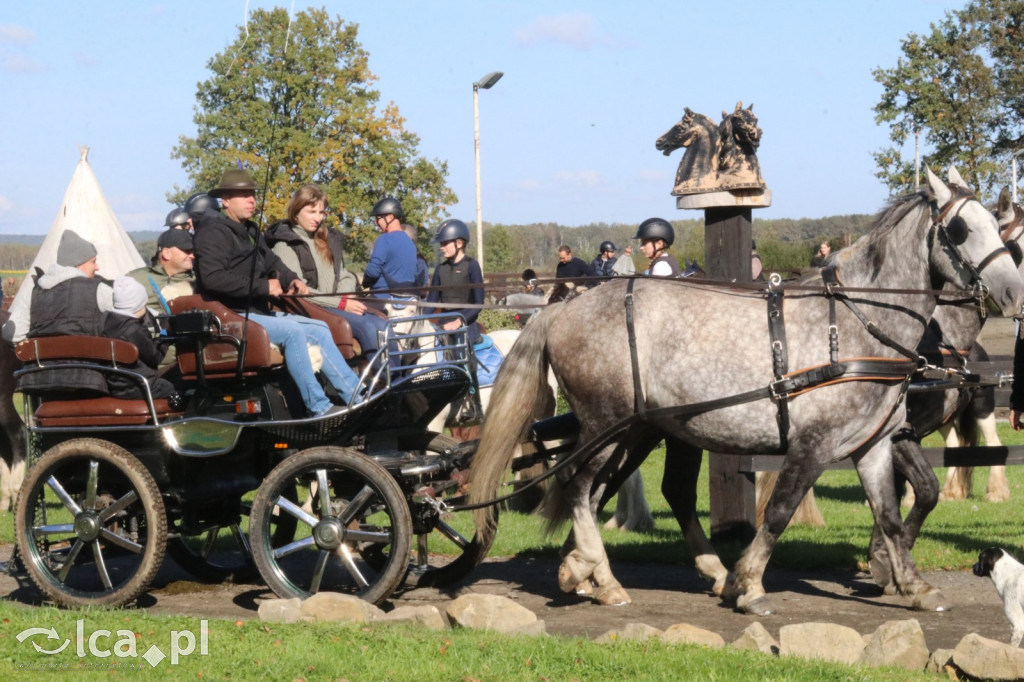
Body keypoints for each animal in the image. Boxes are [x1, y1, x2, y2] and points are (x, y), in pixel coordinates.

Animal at [468, 166, 1024, 614]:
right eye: (961, 229)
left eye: (998, 229)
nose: (1014, 292)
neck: (855, 322)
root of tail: (563, 308)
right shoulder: (813, 444)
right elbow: (778, 512)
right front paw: (749, 585)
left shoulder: (874, 444)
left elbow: (889, 513)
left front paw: (910, 583)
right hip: (606, 425)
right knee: (579, 486)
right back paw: (601, 576)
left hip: (642, 430)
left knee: (621, 488)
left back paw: (589, 571)